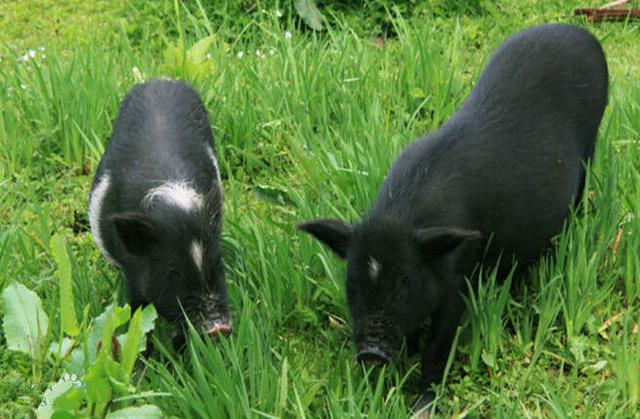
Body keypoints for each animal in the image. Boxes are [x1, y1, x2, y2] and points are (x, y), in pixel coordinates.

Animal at [89, 79, 231, 338]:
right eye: (173, 272)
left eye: (217, 264)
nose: (218, 328)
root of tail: (159, 80)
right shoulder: (132, 271)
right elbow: (138, 313)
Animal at [298, 24, 608, 412]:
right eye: (352, 279)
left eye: (405, 280)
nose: (370, 352)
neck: (402, 217)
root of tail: (582, 33)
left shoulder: (457, 278)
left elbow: (438, 345)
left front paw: (424, 404)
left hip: (591, 147)